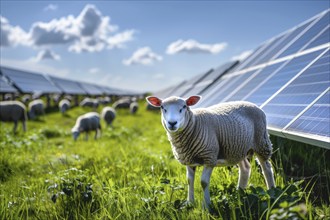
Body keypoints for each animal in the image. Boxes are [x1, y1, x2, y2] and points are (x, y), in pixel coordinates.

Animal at [147, 95, 276, 211]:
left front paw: (207, 206)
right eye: (162, 107)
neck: (195, 124)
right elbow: (189, 181)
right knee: (245, 168)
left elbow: (204, 182)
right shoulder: (189, 160)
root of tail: (254, 105)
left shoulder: (209, 157)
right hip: (237, 149)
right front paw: (190, 203)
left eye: (184, 107)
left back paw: (272, 192)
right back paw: (240, 192)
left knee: (267, 168)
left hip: (261, 141)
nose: (172, 123)